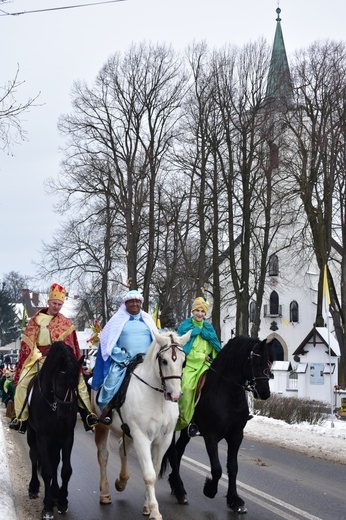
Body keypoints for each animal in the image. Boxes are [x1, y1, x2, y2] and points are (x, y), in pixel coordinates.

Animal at [27, 342, 82, 520]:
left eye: (75, 384)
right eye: (59, 383)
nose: (64, 416)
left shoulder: (66, 436)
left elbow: (65, 470)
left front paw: (62, 501)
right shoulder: (43, 436)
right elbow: (46, 470)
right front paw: (47, 508)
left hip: (56, 439)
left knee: (55, 460)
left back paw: (55, 493)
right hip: (32, 434)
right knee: (34, 457)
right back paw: (34, 488)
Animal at [90, 332, 191, 516]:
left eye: (183, 361)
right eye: (164, 361)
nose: (174, 395)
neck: (157, 399)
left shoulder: (163, 439)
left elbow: (155, 471)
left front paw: (147, 506)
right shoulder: (142, 437)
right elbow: (149, 475)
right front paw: (155, 511)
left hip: (127, 431)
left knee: (122, 448)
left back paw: (121, 481)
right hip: (102, 426)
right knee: (103, 456)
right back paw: (105, 493)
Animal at [161, 336, 274, 512]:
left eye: (269, 362)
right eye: (256, 362)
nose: (265, 393)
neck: (227, 393)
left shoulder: (236, 436)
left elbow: (233, 468)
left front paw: (235, 500)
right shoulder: (211, 436)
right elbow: (217, 469)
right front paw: (210, 489)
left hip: (186, 430)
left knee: (179, 451)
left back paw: (176, 485)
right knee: (173, 453)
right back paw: (179, 489)